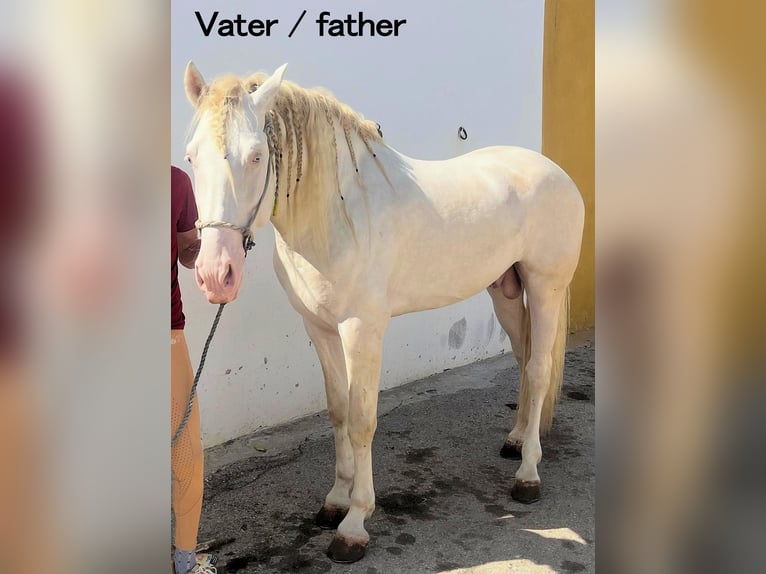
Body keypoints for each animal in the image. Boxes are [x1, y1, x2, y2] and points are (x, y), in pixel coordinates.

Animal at [182, 62, 584, 563]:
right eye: (191, 157)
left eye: (257, 156)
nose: (215, 273)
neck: (339, 215)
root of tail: (557, 172)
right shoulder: (319, 328)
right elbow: (338, 411)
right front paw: (335, 501)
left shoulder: (362, 331)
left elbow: (362, 420)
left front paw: (354, 524)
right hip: (506, 292)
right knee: (523, 358)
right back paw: (514, 441)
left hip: (545, 288)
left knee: (539, 369)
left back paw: (528, 473)